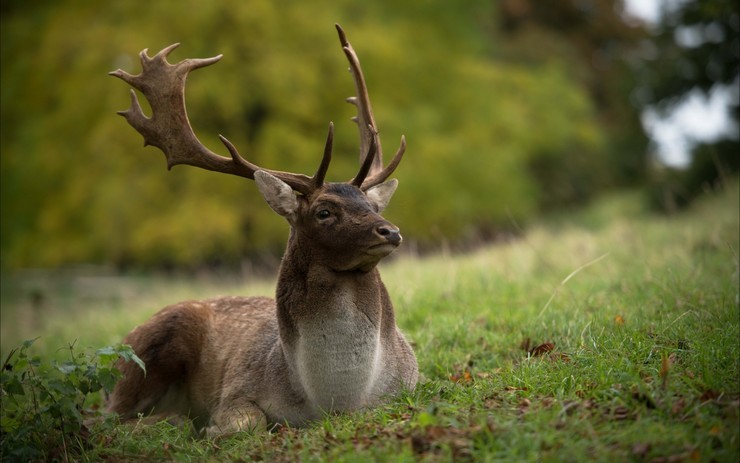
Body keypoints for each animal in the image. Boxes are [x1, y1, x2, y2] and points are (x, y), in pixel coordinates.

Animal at [105, 25, 420, 436]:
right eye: (323, 211)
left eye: (373, 206)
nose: (390, 231)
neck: (335, 400)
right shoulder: (238, 389)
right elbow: (246, 423)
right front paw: (210, 429)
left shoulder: (410, 383)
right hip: (143, 354)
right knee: (103, 419)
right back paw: (175, 419)